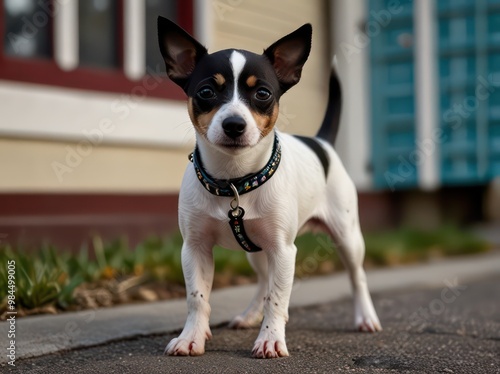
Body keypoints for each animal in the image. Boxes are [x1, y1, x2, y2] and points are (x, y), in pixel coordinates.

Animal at [158, 17, 380, 360]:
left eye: (262, 93)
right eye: (206, 91)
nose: (234, 125)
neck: (235, 182)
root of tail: (323, 143)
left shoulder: (284, 251)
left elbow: (277, 299)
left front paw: (271, 339)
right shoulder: (194, 249)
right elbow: (197, 298)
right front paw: (192, 336)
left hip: (347, 237)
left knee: (357, 277)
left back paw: (366, 317)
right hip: (258, 251)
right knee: (263, 282)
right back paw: (250, 315)